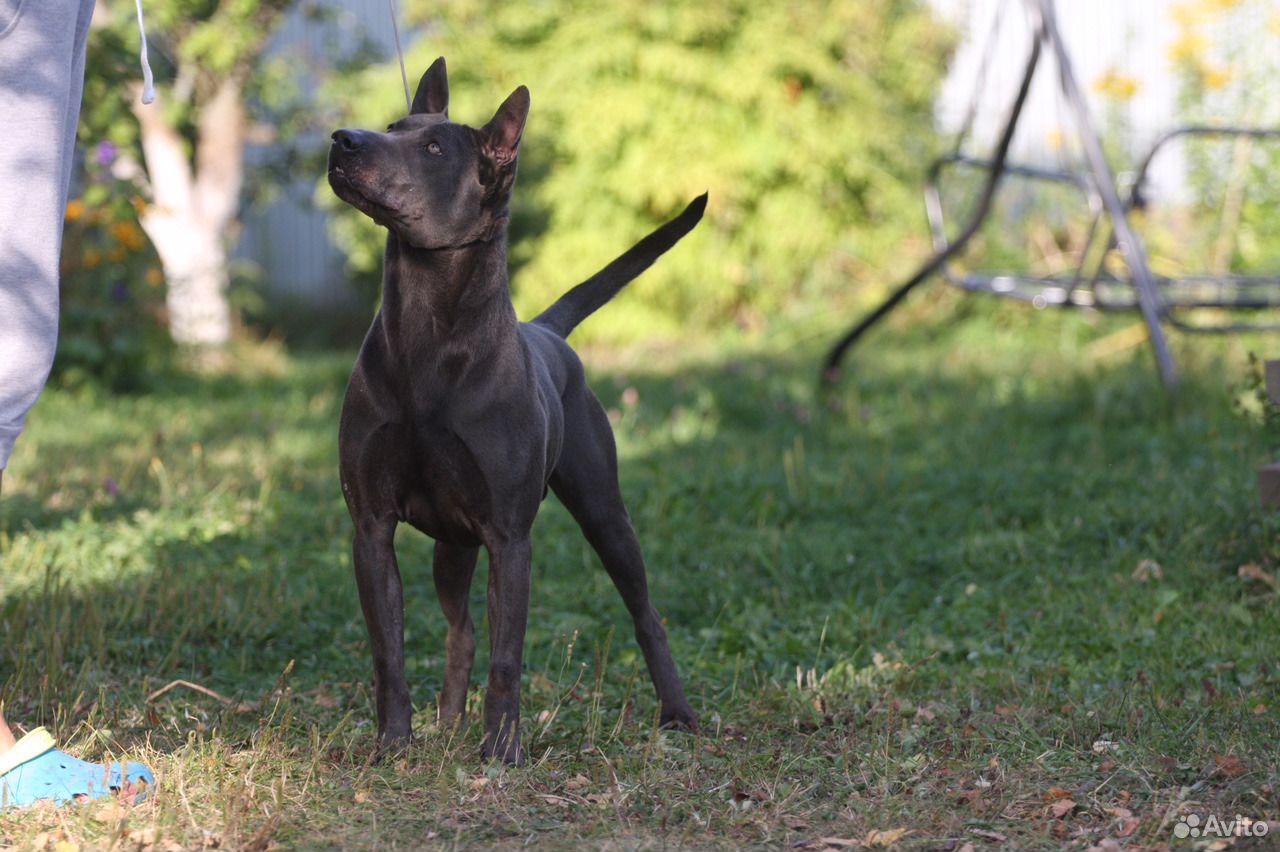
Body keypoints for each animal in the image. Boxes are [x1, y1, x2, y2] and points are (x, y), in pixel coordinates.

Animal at [325, 59, 706, 762]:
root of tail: (547, 330)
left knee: (646, 613)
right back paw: (448, 724)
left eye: (433, 148)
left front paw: (501, 750)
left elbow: (508, 657)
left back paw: (678, 713)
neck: (427, 335)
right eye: (392, 126)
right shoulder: (372, 526)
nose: (344, 140)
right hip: (452, 548)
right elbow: (390, 651)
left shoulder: (509, 536)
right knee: (462, 630)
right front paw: (394, 744)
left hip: (604, 512)